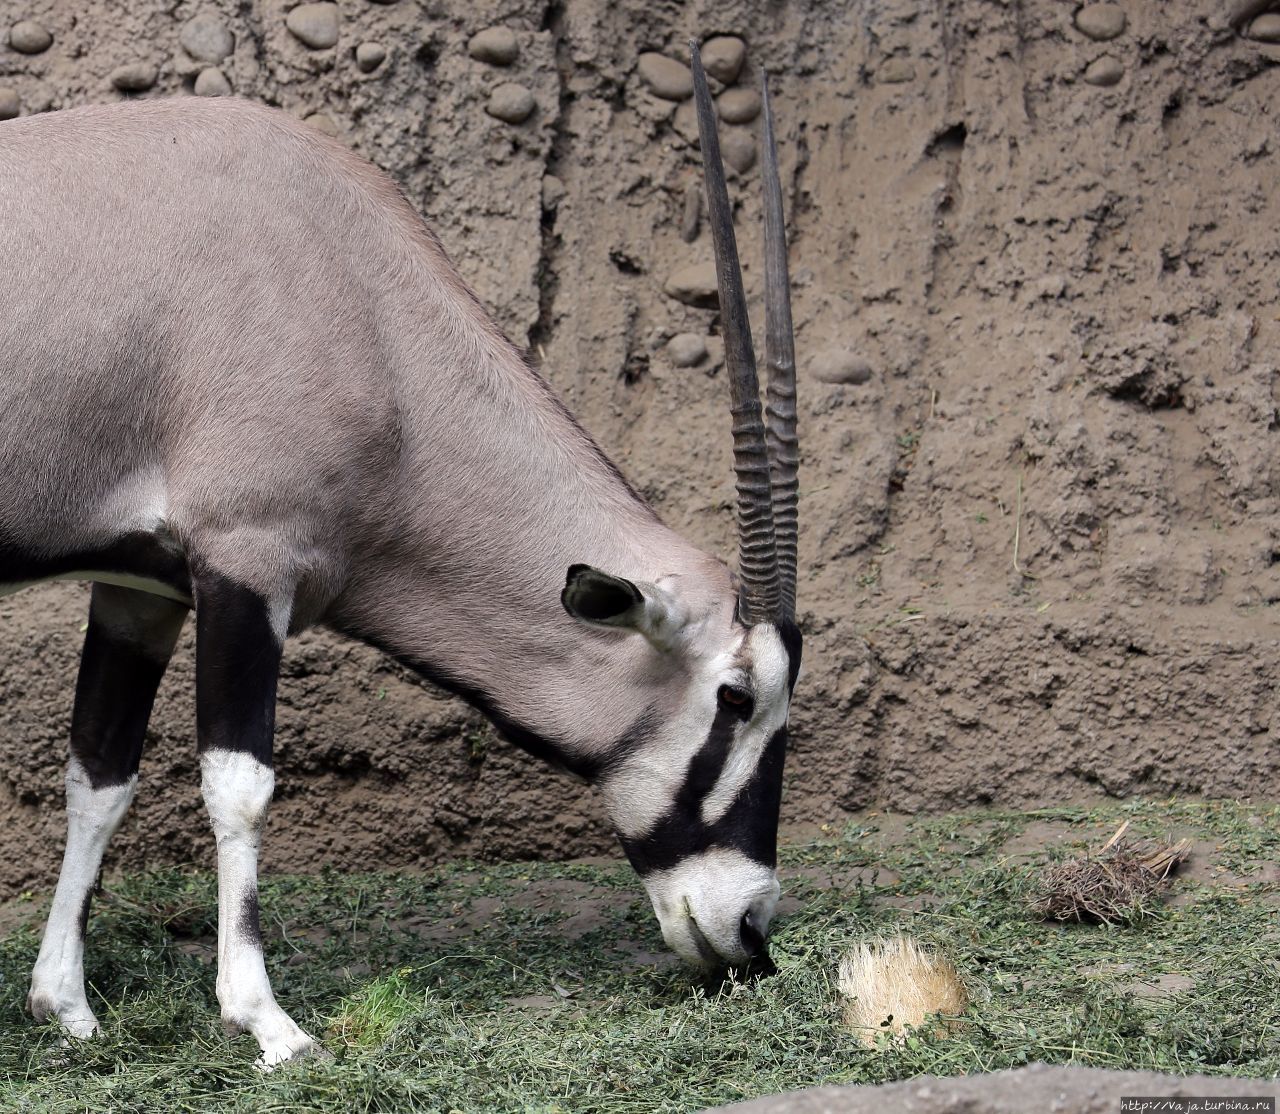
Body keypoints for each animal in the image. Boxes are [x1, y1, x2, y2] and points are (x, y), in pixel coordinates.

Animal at [0, 43, 798, 1070]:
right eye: (735, 699)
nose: (750, 930)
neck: (363, 302)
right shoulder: (248, 562)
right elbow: (239, 786)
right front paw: (266, 1022)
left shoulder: (142, 589)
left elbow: (100, 774)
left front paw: (64, 1004)